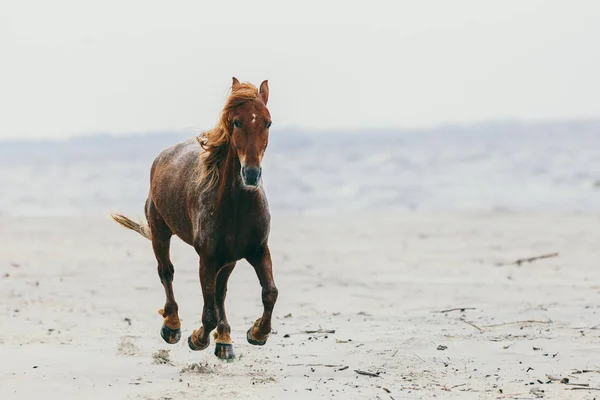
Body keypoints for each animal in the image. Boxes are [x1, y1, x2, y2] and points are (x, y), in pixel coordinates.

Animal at [110, 77, 278, 360]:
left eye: (267, 122)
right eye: (236, 122)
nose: (251, 174)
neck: (236, 207)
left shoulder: (257, 250)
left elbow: (269, 293)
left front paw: (257, 333)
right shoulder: (207, 258)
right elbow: (208, 313)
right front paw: (197, 338)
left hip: (228, 259)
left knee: (220, 292)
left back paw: (224, 340)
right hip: (160, 232)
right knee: (166, 272)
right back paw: (172, 325)